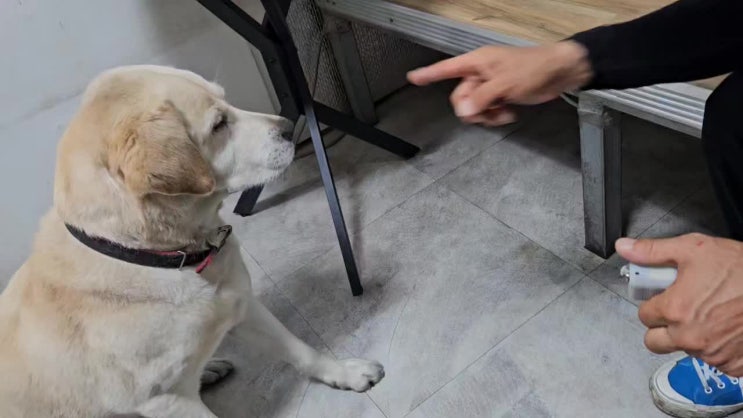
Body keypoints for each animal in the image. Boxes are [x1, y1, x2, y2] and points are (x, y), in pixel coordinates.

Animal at [0, 65, 384, 417]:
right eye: (218, 125)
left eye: (226, 102)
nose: (290, 127)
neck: (158, 257)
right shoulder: (166, 400)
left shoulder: (240, 303)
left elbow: (300, 350)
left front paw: (345, 372)